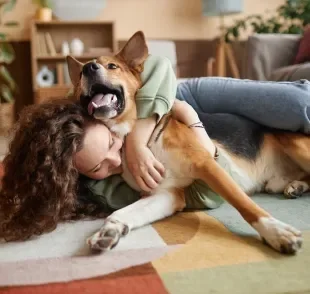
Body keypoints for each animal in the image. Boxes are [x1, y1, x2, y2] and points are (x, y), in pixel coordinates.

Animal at [66, 30, 308, 255]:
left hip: (294, 144)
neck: (131, 139)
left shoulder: (207, 165)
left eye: (112, 66)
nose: (89, 69)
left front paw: (276, 231)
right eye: (79, 75)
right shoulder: (167, 193)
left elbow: (245, 205)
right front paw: (109, 230)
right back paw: (297, 186)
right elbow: (123, 212)